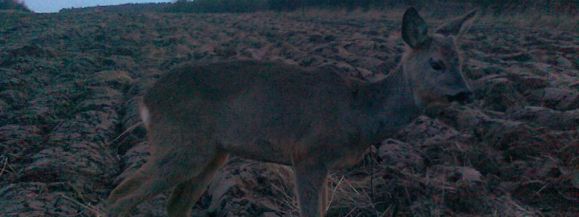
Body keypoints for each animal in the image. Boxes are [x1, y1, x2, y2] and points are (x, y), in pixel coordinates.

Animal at [106, 7, 478, 217]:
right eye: (436, 63)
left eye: (461, 60)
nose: (466, 93)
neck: (360, 113)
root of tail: (146, 100)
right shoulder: (308, 154)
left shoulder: (325, 164)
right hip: (181, 144)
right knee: (120, 195)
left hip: (212, 153)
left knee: (174, 204)